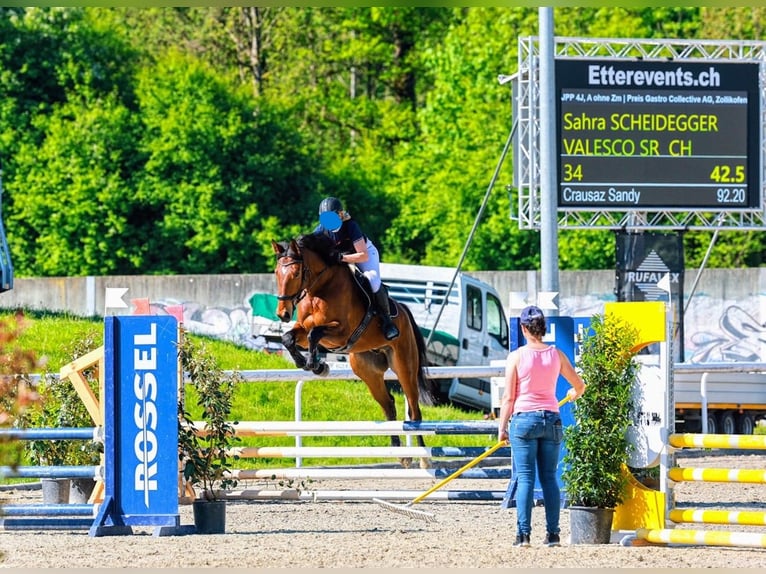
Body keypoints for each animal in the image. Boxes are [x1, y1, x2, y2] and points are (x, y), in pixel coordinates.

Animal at [271, 233, 436, 468]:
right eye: (277, 273)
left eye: (295, 273)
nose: (283, 314)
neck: (318, 289)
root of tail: (404, 310)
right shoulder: (302, 329)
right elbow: (289, 338)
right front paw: (310, 365)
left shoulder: (341, 332)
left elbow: (314, 334)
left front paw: (315, 365)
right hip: (367, 371)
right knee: (389, 406)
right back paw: (401, 454)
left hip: (405, 366)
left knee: (414, 411)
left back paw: (424, 459)